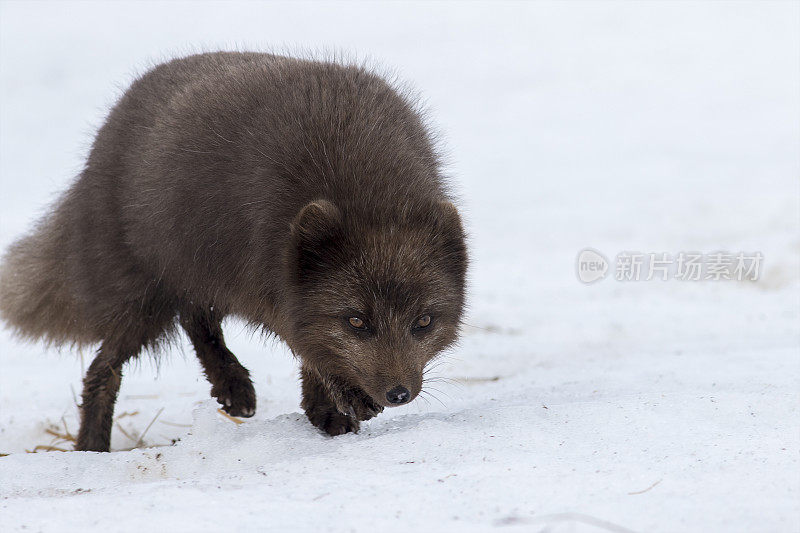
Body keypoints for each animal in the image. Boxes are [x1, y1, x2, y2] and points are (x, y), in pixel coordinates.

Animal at [0, 52, 466, 450]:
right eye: (356, 322)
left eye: (424, 322)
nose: (398, 394)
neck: (368, 196)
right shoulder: (274, 282)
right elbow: (309, 343)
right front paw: (342, 398)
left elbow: (306, 344)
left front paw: (324, 411)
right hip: (141, 302)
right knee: (103, 370)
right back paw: (91, 450)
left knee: (195, 315)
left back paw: (233, 386)